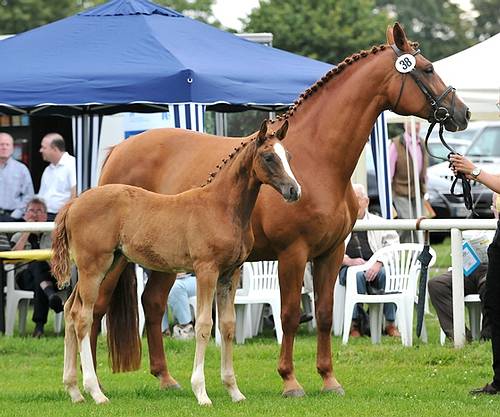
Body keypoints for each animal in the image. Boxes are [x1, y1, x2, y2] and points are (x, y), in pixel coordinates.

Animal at [95, 23, 470, 396]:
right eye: (428, 69)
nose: (462, 113)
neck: (317, 158)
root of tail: (118, 150)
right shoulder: (293, 253)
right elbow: (289, 314)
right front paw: (290, 380)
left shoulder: (331, 253)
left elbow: (325, 313)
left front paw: (329, 378)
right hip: (116, 259)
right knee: (96, 306)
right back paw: (95, 384)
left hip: (163, 260)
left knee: (153, 303)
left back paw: (165, 378)